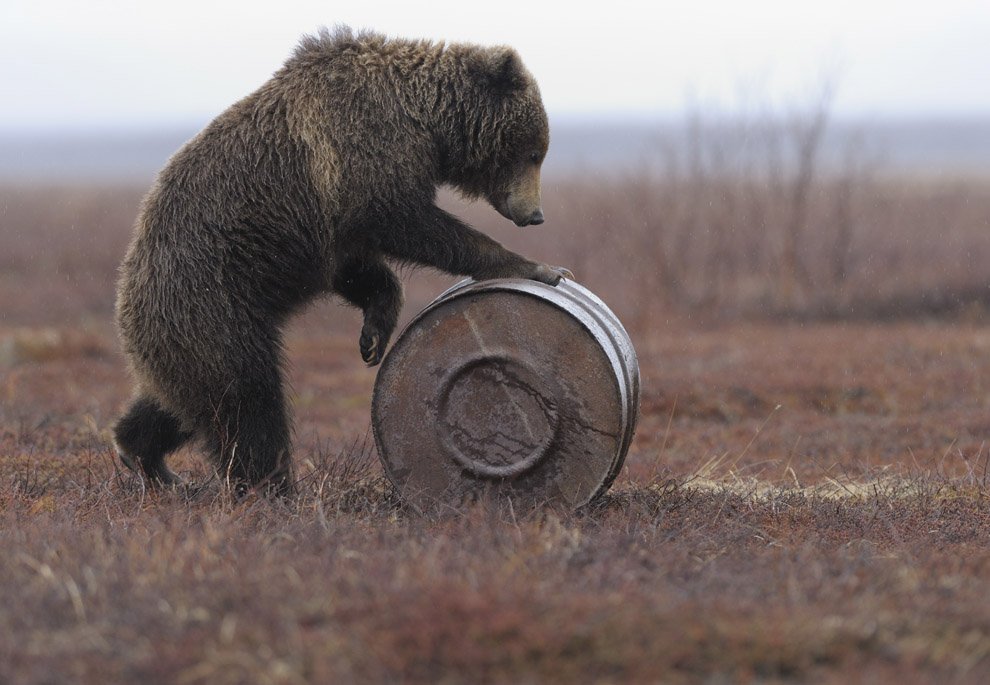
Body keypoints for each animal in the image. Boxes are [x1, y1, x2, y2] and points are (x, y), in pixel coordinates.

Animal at [112, 26, 568, 494]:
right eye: (535, 151)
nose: (535, 215)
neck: (423, 122)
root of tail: (127, 295)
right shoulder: (360, 150)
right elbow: (403, 219)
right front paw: (533, 266)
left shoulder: (331, 227)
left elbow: (356, 269)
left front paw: (374, 336)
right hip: (213, 300)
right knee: (247, 398)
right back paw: (272, 484)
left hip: (192, 330)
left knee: (179, 401)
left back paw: (146, 457)